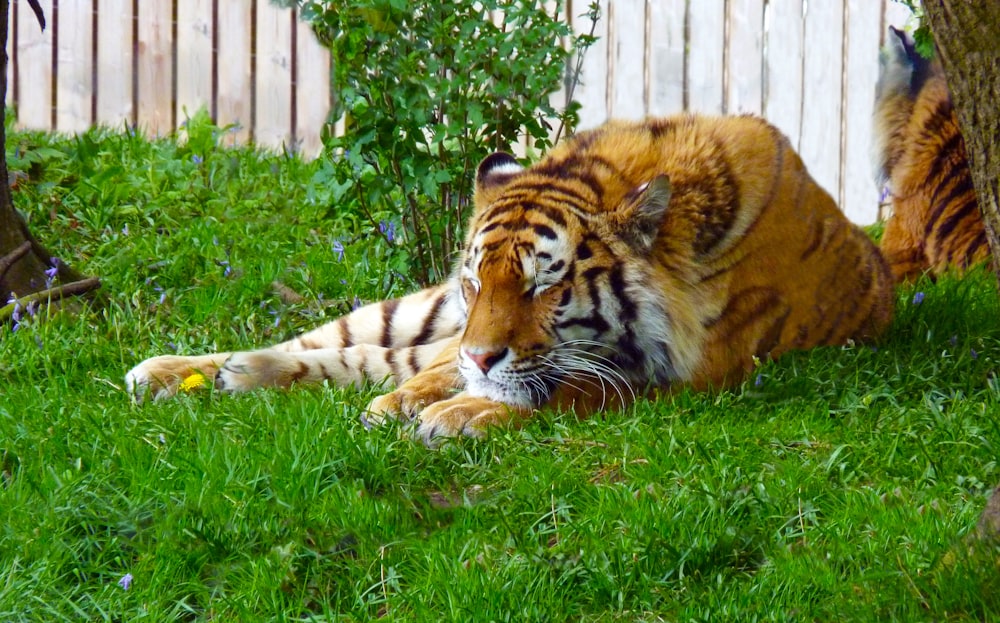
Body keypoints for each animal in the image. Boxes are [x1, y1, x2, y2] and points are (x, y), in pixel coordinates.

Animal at [127, 112, 900, 444]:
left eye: (542, 285)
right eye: (478, 281)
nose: (480, 354)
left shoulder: (697, 369)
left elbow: (569, 387)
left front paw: (458, 412)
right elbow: (441, 373)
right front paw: (431, 402)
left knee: (378, 358)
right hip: (417, 313)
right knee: (343, 342)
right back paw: (179, 371)